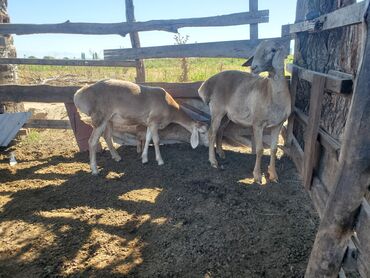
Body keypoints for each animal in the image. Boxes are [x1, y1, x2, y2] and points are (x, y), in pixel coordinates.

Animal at [73, 78, 208, 174]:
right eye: (203, 132)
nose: (208, 146)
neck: (170, 108)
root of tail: (79, 94)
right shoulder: (154, 121)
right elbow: (156, 140)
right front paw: (160, 161)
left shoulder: (149, 123)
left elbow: (148, 139)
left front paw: (144, 158)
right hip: (100, 117)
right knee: (92, 141)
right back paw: (94, 169)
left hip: (109, 119)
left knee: (107, 136)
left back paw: (117, 157)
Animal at [198, 39, 290, 182]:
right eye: (256, 50)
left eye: (273, 50)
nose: (253, 67)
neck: (271, 92)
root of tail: (206, 84)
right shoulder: (258, 123)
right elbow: (260, 150)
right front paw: (257, 176)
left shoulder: (278, 124)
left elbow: (274, 149)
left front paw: (273, 175)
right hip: (217, 110)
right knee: (212, 133)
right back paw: (213, 161)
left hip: (227, 115)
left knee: (220, 130)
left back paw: (220, 152)